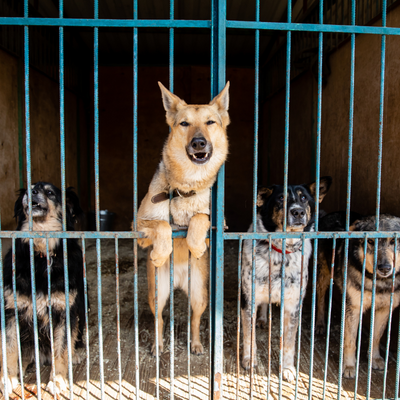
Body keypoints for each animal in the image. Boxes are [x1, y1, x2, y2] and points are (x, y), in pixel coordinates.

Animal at [135, 82, 230, 356]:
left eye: (210, 122)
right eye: (184, 124)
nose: (199, 143)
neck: (187, 187)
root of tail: (177, 282)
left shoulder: (220, 225)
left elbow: (200, 218)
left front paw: (194, 245)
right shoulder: (138, 229)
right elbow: (163, 224)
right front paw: (161, 250)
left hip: (199, 295)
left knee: (195, 319)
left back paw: (196, 344)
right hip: (157, 294)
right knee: (159, 318)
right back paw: (157, 345)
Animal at [241, 177, 332, 382]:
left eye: (304, 198)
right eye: (281, 198)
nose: (297, 211)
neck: (281, 252)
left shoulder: (293, 305)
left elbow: (289, 342)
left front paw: (287, 368)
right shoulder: (248, 300)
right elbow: (249, 335)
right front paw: (249, 360)